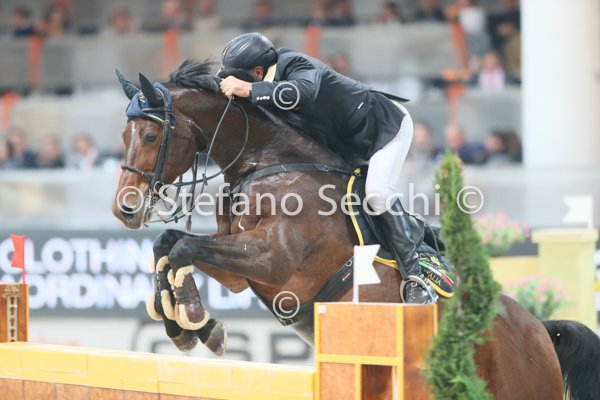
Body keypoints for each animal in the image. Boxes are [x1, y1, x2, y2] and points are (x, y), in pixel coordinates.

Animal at [112, 60, 600, 399]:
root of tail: (541, 330)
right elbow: (170, 245)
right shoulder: (241, 271)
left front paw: (193, 319)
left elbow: (182, 249)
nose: (125, 210)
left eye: (151, 137)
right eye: (123, 136)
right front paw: (186, 325)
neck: (265, 163)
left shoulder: (273, 259)